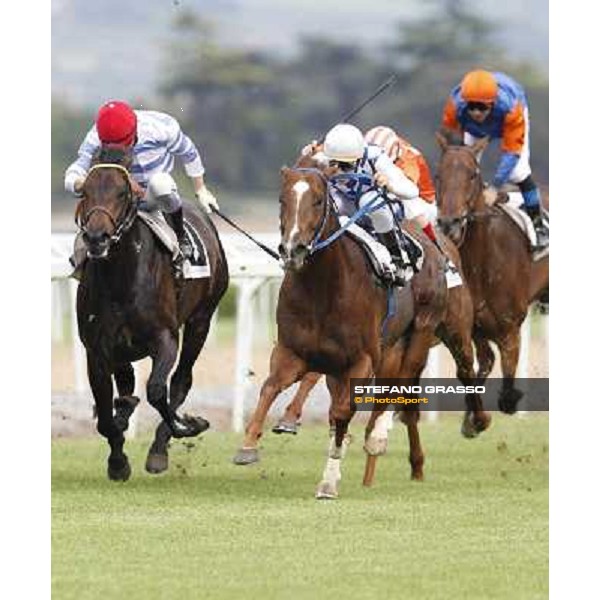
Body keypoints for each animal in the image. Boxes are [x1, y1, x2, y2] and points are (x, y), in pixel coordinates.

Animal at [73, 148, 227, 480]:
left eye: (122, 192)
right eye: (85, 191)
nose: (97, 238)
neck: (121, 279)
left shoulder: (165, 338)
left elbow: (158, 390)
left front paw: (188, 425)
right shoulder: (97, 349)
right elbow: (104, 414)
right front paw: (118, 461)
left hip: (201, 320)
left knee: (181, 379)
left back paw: (160, 446)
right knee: (127, 383)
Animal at [232, 165, 486, 496]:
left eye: (318, 200)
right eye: (281, 200)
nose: (292, 249)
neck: (322, 289)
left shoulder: (362, 359)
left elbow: (342, 412)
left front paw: (328, 482)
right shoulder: (294, 352)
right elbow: (271, 387)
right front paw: (248, 444)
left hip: (432, 326)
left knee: (442, 373)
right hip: (387, 349)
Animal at [434, 134, 552, 412]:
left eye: (472, 175)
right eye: (438, 175)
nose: (449, 223)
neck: (482, 263)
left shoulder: (510, 330)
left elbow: (507, 392)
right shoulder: (474, 329)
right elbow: (478, 367)